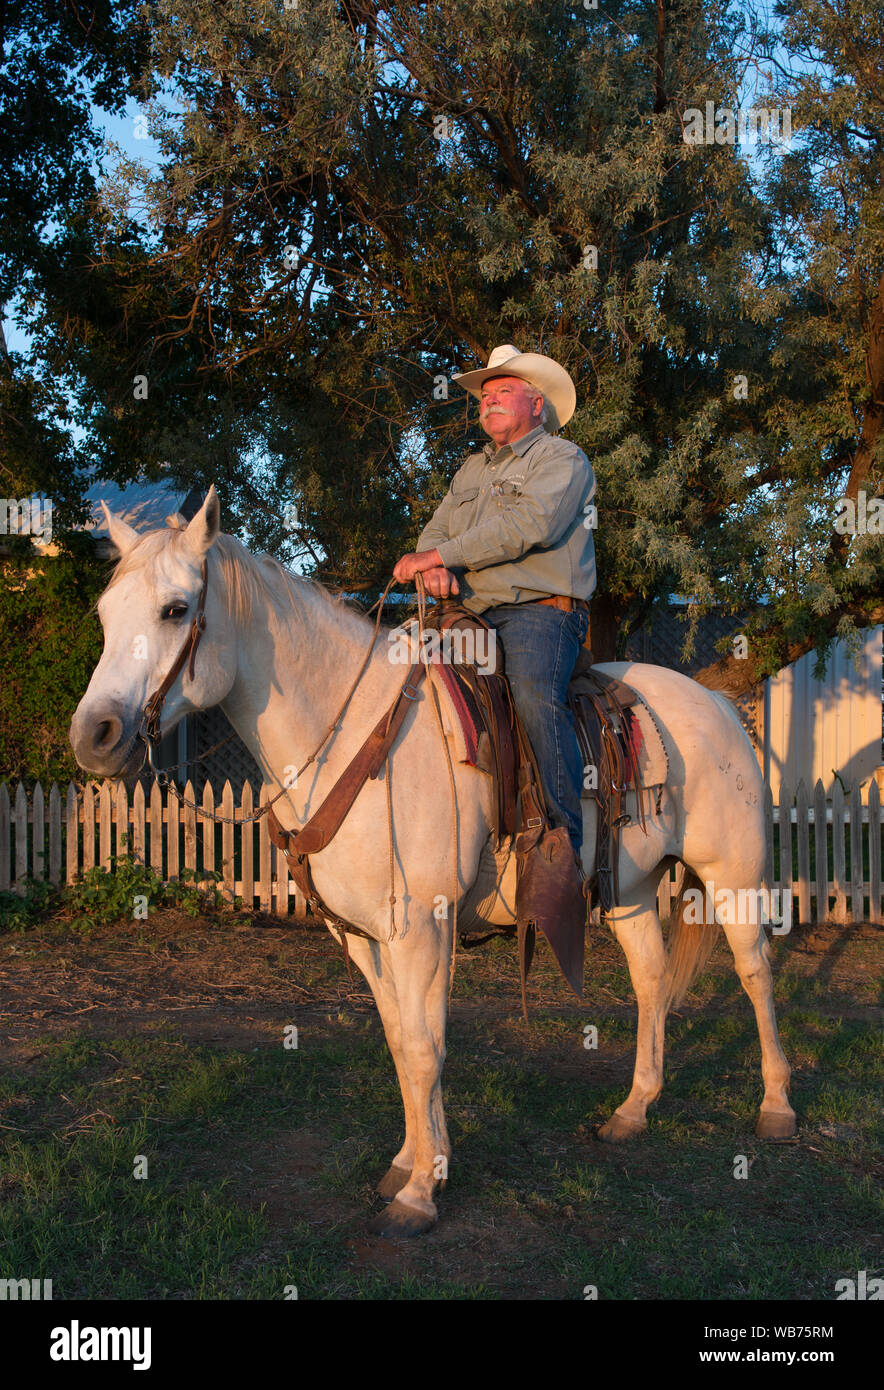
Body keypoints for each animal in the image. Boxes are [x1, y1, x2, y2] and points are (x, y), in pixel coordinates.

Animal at [72, 489, 795, 1239]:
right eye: (105, 614)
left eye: (175, 609)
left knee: (755, 971)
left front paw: (419, 1194)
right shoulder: (363, 935)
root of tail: (717, 704)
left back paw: (776, 1107)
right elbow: (403, 1041)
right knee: (652, 979)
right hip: (626, 887)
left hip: (734, 878)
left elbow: (426, 1048)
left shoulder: (422, 926)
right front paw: (416, 1162)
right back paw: (633, 1111)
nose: (93, 736)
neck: (353, 736)